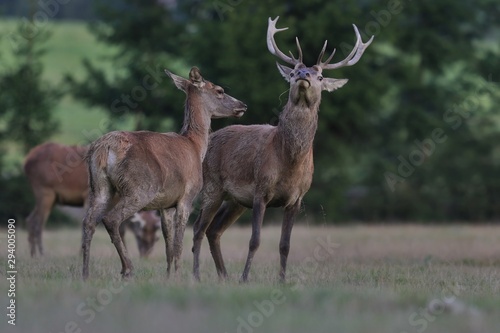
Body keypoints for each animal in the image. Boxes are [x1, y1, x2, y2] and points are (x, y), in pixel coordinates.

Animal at [23, 142, 160, 256]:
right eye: (140, 235)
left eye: (156, 238)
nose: (146, 254)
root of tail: (26, 160)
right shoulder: (87, 196)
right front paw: (81, 253)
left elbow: (121, 228)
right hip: (45, 190)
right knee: (38, 222)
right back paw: (42, 253)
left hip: (50, 197)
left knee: (30, 219)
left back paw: (33, 254)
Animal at [81, 65, 247, 278]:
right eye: (219, 90)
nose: (243, 105)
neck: (195, 146)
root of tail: (105, 147)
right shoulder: (187, 196)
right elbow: (178, 242)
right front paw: (178, 275)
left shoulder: (165, 204)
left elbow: (168, 243)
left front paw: (168, 276)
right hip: (139, 188)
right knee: (111, 219)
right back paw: (127, 269)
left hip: (99, 186)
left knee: (88, 222)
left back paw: (85, 273)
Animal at [193, 16, 374, 282]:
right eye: (294, 71)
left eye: (320, 77)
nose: (303, 74)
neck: (289, 162)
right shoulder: (261, 190)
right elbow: (255, 240)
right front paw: (245, 277)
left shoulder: (297, 199)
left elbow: (285, 245)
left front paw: (282, 279)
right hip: (212, 187)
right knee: (198, 228)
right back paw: (197, 275)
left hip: (235, 200)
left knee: (213, 230)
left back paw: (224, 276)